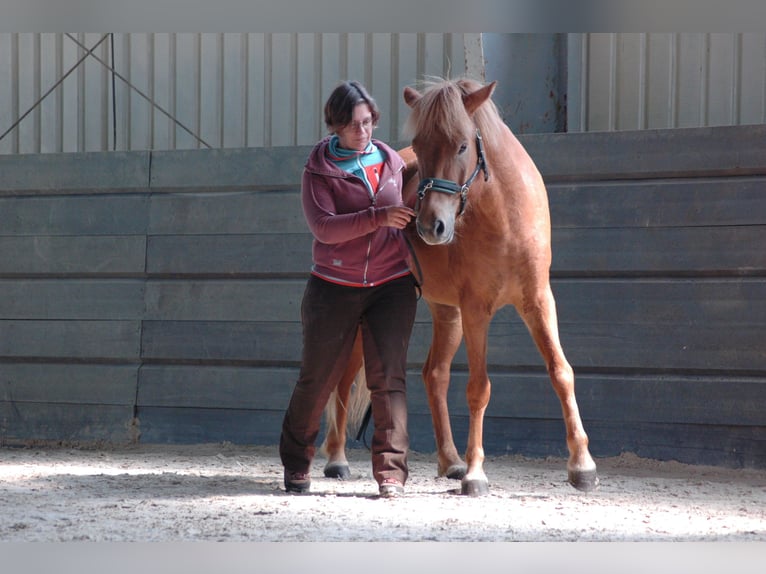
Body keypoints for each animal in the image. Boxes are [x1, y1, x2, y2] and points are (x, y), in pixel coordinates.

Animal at [320, 79, 596, 498]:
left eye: (463, 145)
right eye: (419, 145)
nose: (430, 225)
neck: (505, 217)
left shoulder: (537, 301)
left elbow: (561, 371)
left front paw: (582, 465)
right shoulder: (477, 309)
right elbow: (479, 388)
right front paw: (476, 473)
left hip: (446, 312)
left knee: (434, 374)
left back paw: (450, 461)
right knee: (344, 379)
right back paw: (337, 459)